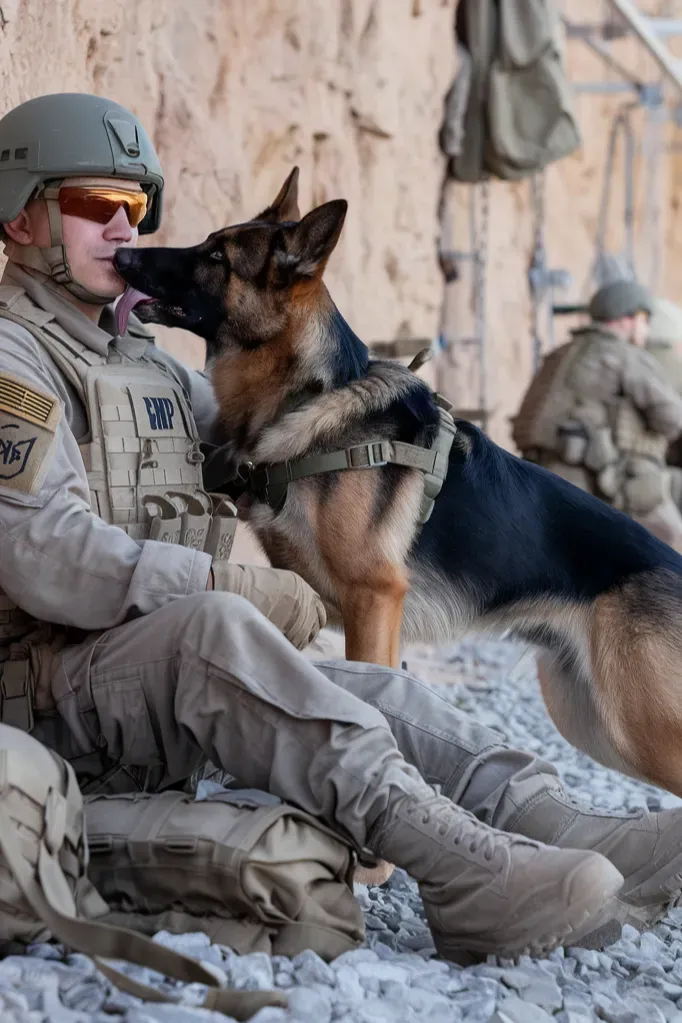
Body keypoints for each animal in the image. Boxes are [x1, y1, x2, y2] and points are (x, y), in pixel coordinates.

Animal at [113, 167, 682, 822]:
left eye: (216, 256)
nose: (122, 254)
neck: (305, 394)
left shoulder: (374, 600)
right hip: (588, 718)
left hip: (641, 724)